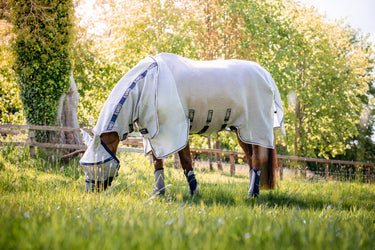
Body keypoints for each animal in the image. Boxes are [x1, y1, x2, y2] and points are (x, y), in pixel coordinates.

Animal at [80, 52, 284, 197]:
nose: (91, 192)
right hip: (241, 131)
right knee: (251, 158)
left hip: (255, 127)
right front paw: (158, 194)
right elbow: (157, 163)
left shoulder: (175, 129)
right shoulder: (154, 133)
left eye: (98, 164)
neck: (148, 82)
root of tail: (266, 75)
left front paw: (195, 194)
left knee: (256, 159)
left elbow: (185, 161)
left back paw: (252, 195)